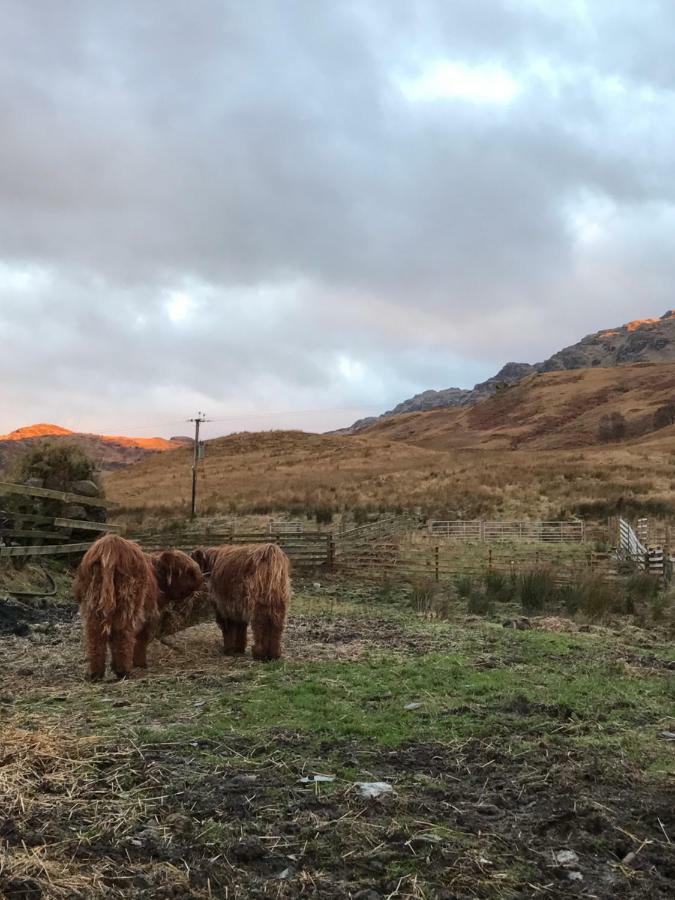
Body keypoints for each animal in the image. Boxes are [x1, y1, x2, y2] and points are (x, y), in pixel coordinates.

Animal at [75, 536, 203, 676]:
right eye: (189, 571)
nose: (201, 578)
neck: (157, 576)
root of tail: (109, 544)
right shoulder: (149, 615)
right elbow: (141, 639)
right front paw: (140, 663)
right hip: (127, 604)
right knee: (123, 635)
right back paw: (124, 671)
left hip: (93, 604)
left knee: (95, 636)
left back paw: (96, 673)